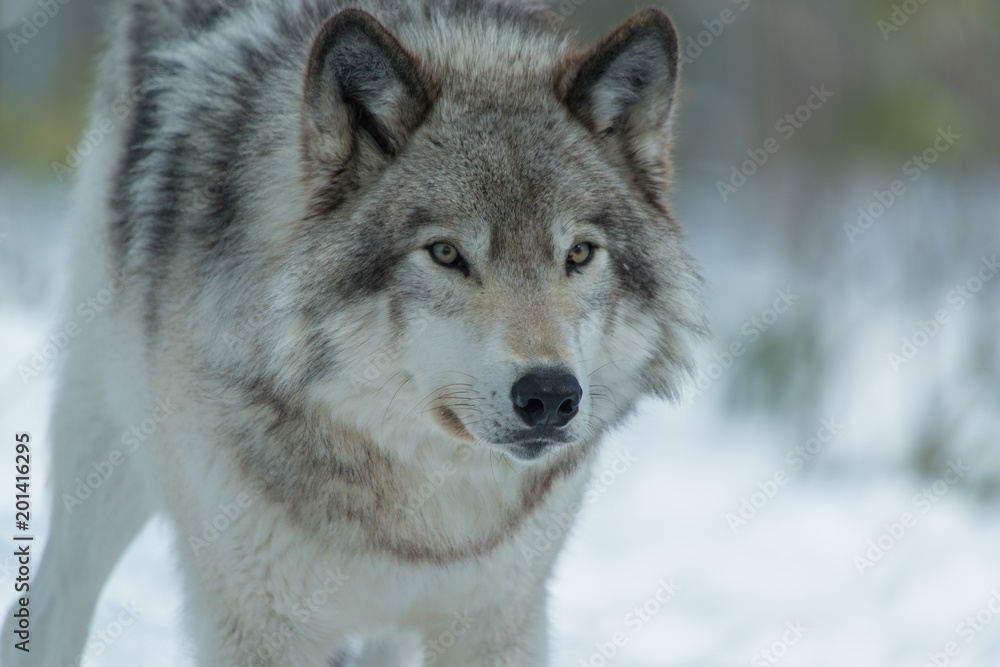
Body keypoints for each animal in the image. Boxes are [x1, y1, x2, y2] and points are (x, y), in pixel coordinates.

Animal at [4, 0, 704, 664]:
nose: (551, 396)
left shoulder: (497, 622)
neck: (417, 516)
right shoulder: (261, 627)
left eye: (579, 254)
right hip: (105, 455)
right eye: (446, 254)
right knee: (54, 603)